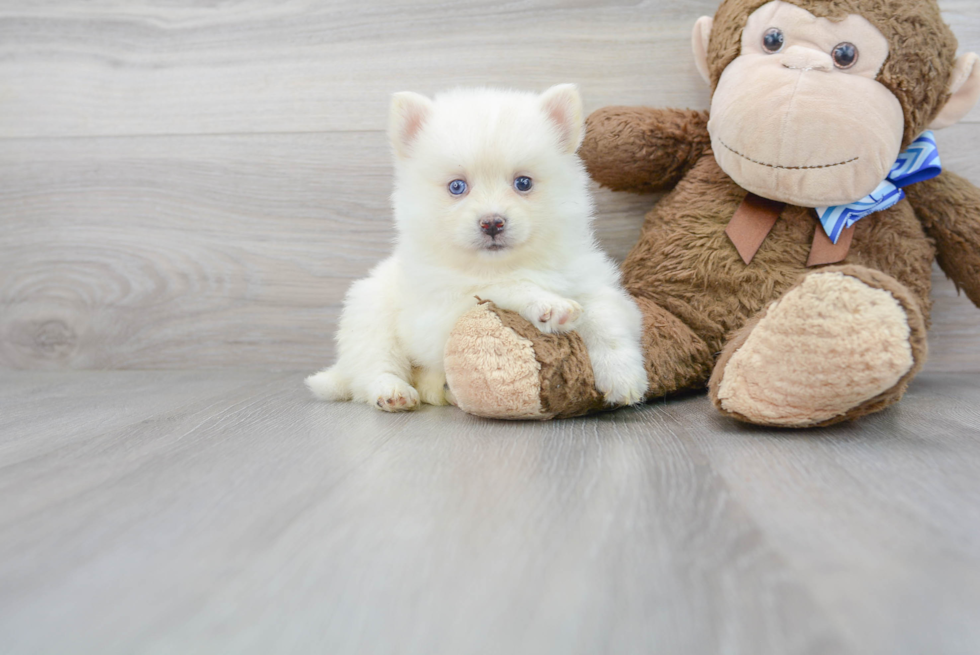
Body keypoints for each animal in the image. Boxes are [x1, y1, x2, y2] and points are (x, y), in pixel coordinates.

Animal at [302, 84, 648, 412]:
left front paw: (623, 376)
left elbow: (605, 321)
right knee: (372, 368)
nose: (492, 223)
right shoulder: (440, 314)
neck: (504, 262)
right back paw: (392, 392)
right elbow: (504, 285)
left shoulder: (594, 286)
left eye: (523, 183)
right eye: (457, 187)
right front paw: (547, 303)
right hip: (370, 315)